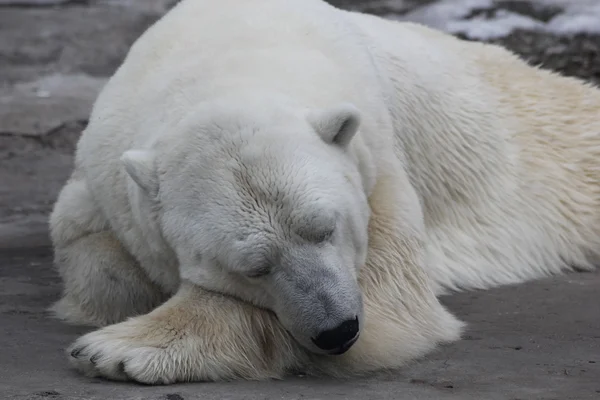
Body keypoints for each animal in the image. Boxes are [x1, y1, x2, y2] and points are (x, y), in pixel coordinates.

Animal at [50, 0, 600, 384]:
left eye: (325, 228)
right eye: (253, 267)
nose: (338, 330)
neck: (228, 55)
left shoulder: (376, 158)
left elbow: (390, 300)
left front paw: (119, 350)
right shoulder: (104, 173)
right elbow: (92, 250)